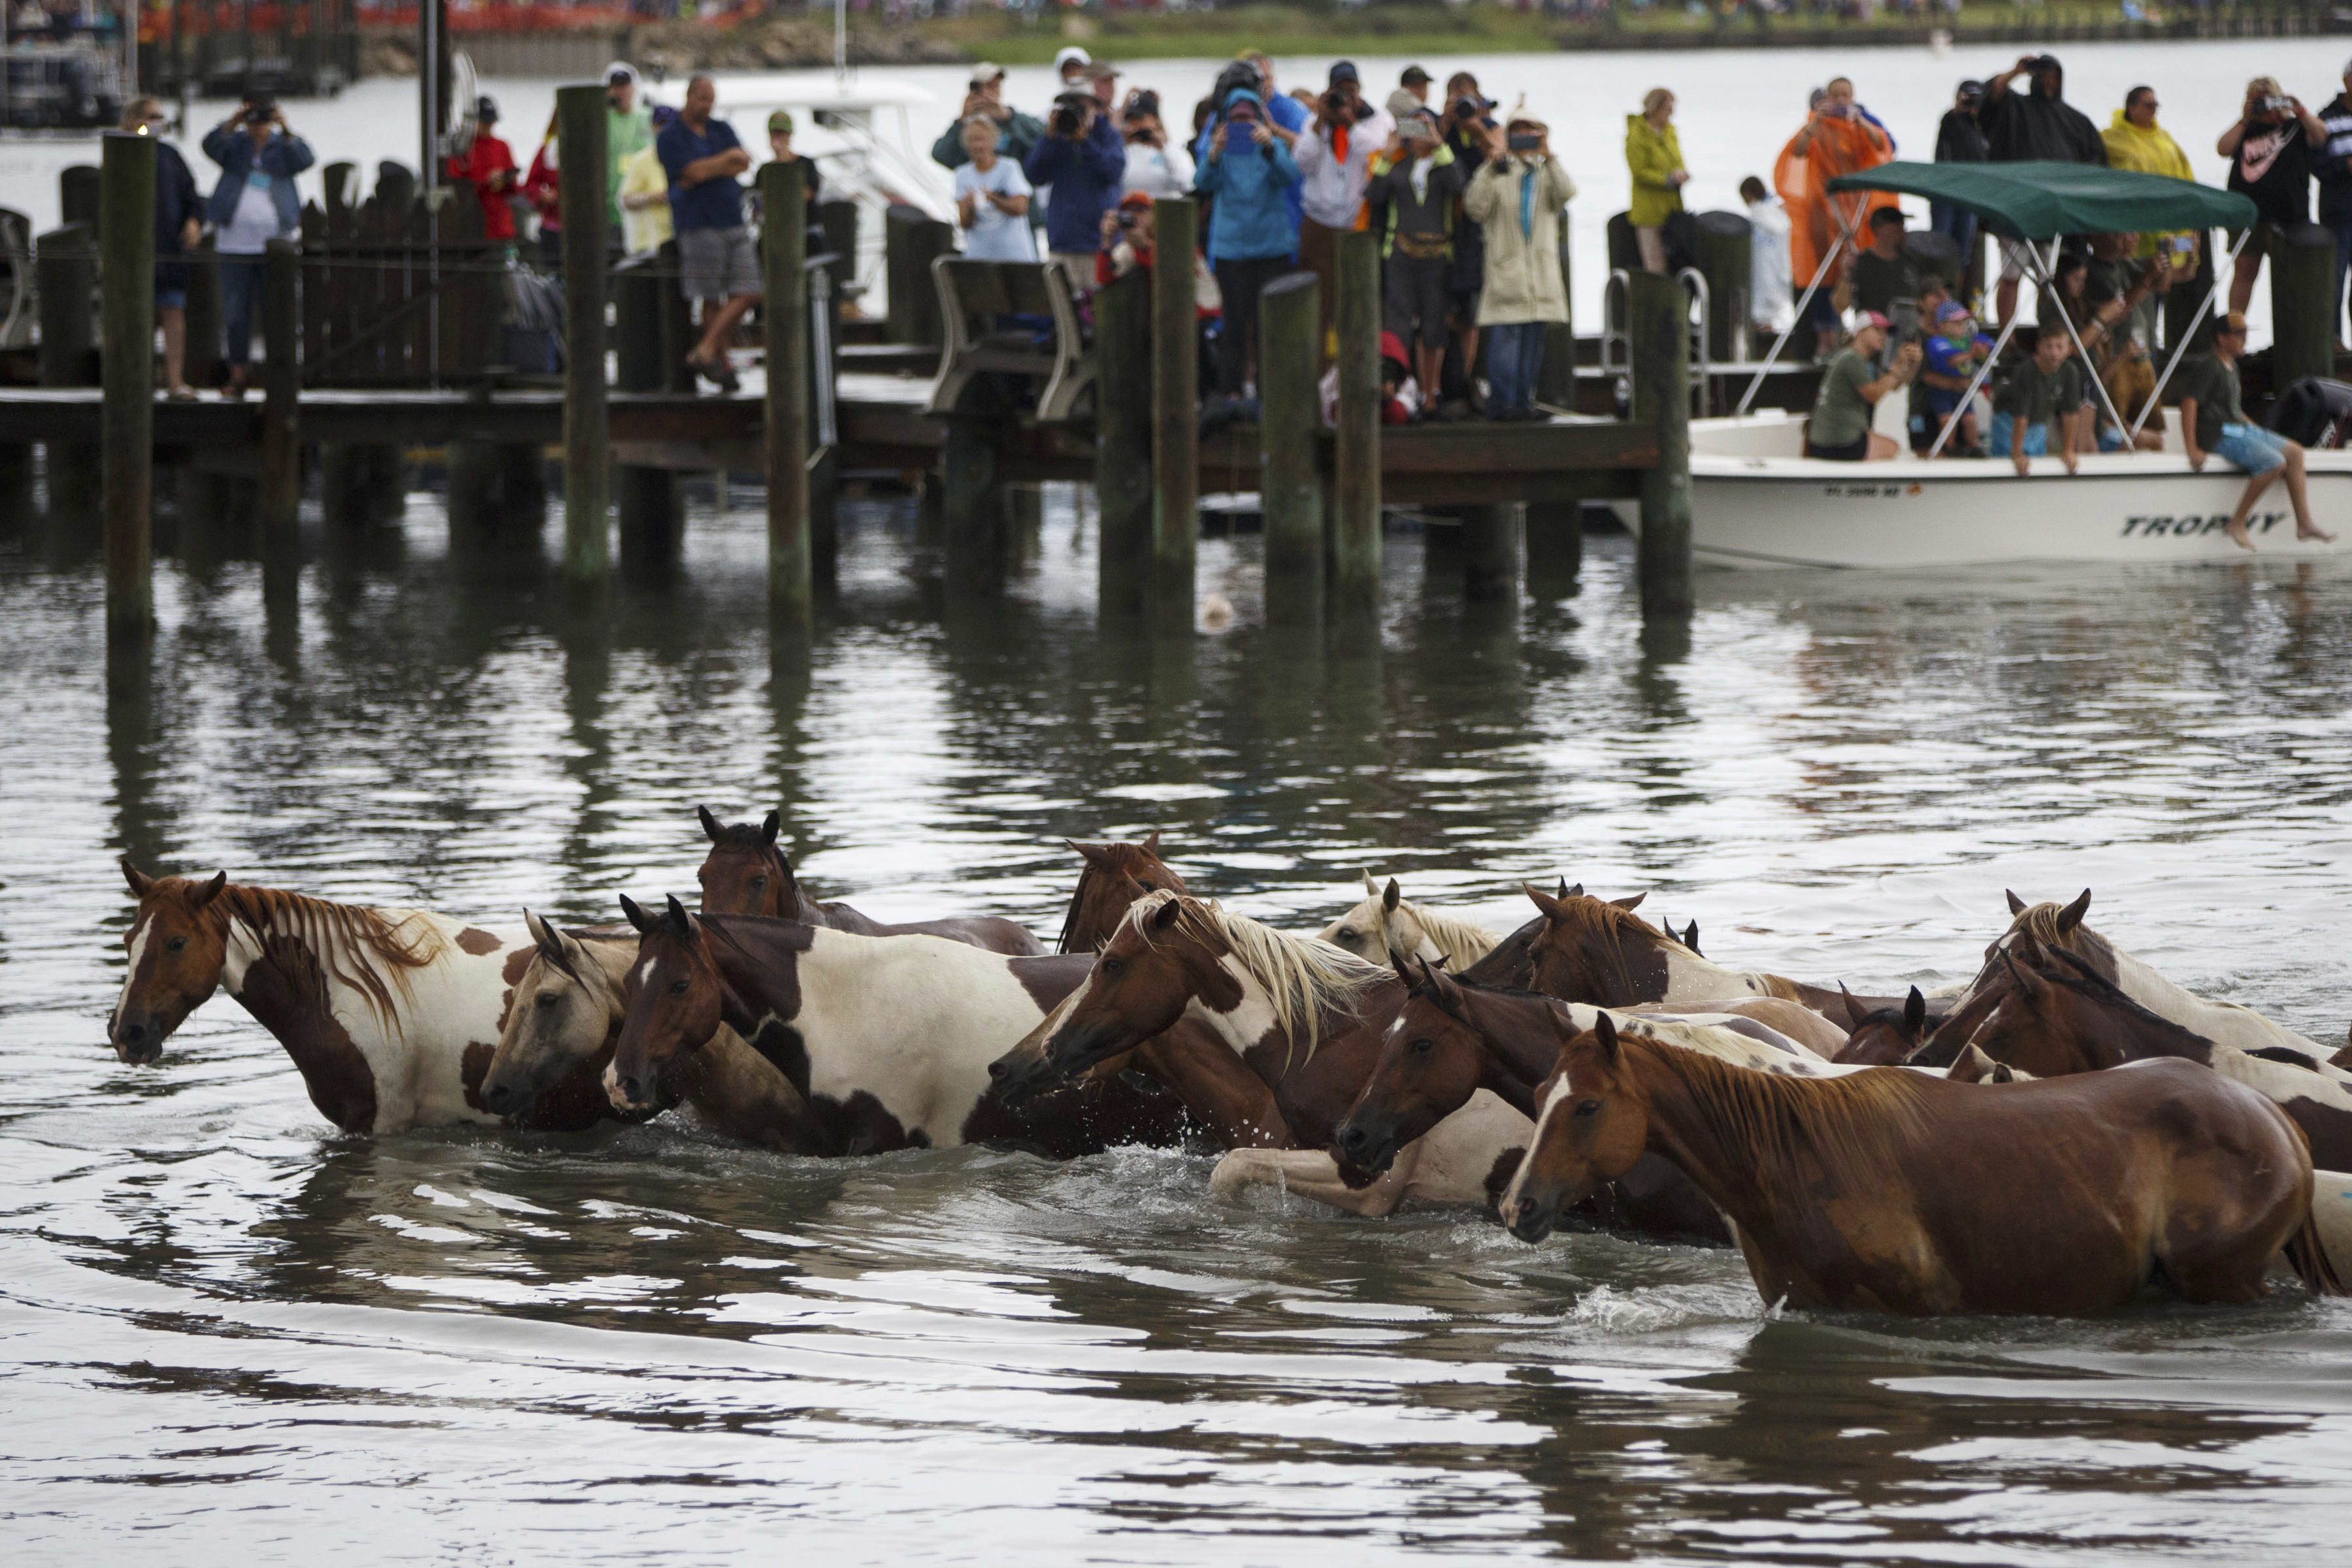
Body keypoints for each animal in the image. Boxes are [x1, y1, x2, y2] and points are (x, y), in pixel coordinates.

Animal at [1495, 1011, 2342, 1316]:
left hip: (2223, 1280)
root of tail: (2276, 1122)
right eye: (1537, 1094)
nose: (1518, 1207)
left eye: (1588, 1106)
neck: (1798, 1161)